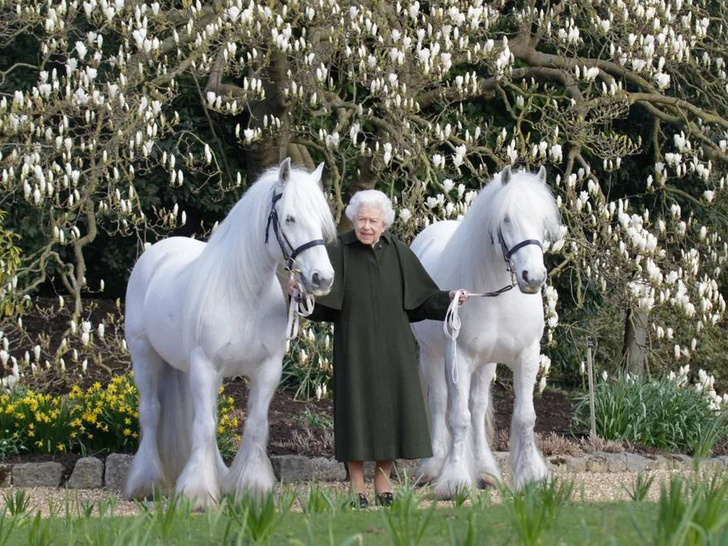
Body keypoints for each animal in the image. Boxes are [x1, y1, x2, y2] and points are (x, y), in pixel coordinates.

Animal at [123, 157, 336, 506]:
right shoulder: (205, 366)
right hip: (145, 356)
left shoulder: (267, 370)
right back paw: (146, 483)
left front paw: (251, 487)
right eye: (289, 218)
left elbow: (254, 425)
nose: (322, 278)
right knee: (152, 413)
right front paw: (197, 493)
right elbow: (204, 427)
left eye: (320, 221)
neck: (243, 293)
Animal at [410, 166, 564, 498]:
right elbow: (458, 418)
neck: (497, 295)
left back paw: (485, 471)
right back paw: (433, 467)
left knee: (478, 407)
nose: (533, 277)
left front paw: (532, 477)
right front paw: (454, 481)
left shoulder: (527, 355)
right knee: (440, 402)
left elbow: (524, 417)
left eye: (542, 221)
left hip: (486, 363)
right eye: (506, 219)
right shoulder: (460, 357)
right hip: (432, 355)